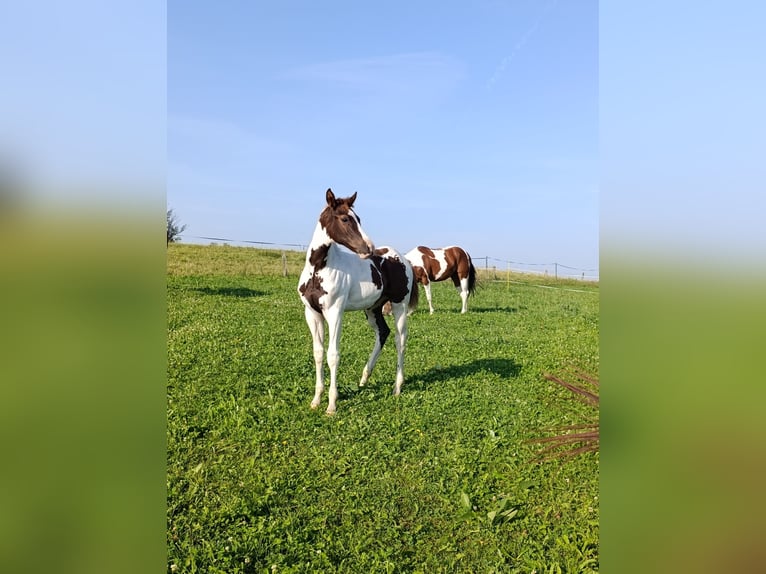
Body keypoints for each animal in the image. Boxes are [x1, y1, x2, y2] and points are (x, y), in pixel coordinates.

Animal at [300, 191, 420, 416]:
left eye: (359, 219)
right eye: (345, 219)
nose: (369, 248)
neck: (319, 269)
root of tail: (404, 260)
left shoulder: (335, 312)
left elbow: (333, 355)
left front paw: (331, 404)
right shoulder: (312, 313)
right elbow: (318, 353)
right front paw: (316, 400)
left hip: (399, 305)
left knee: (400, 339)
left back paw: (397, 387)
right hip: (373, 308)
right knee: (383, 332)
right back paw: (365, 378)